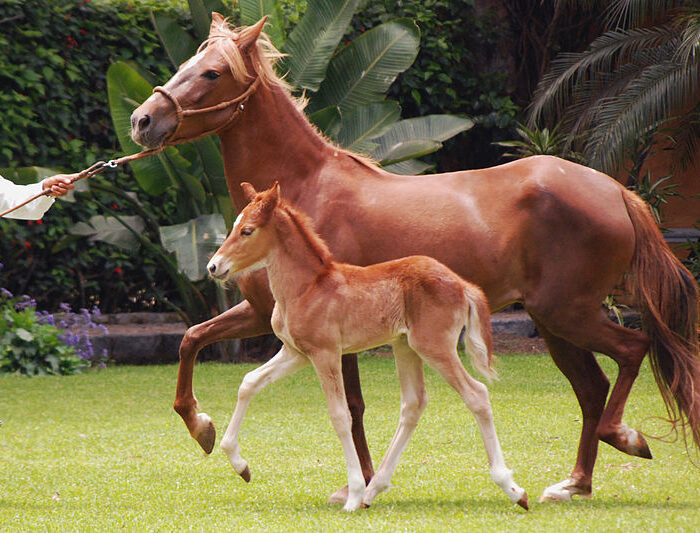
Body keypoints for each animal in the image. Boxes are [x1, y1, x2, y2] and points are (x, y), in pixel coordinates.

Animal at [206, 182, 529, 511]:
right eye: (233, 227)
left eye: (247, 230)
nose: (214, 266)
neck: (307, 288)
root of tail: (463, 285)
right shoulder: (296, 353)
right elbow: (249, 382)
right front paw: (239, 464)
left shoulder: (325, 354)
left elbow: (340, 416)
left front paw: (353, 494)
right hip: (405, 347)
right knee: (413, 404)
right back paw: (374, 491)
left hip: (435, 347)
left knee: (476, 394)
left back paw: (513, 489)